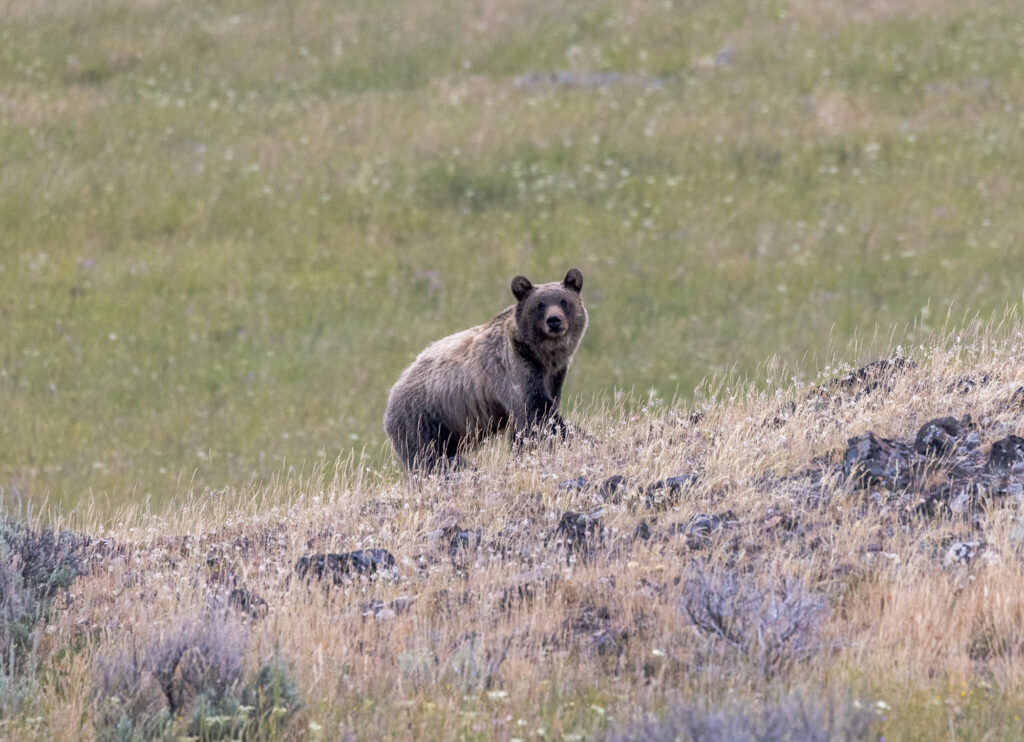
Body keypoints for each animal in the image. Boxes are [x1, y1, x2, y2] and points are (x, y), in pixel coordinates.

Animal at [384, 268, 588, 472]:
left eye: (564, 301)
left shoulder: (553, 376)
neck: (543, 356)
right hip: (424, 417)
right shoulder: (514, 368)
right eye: (540, 304)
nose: (554, 320)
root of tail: (394, 389)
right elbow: (536, 413)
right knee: (428, 455)